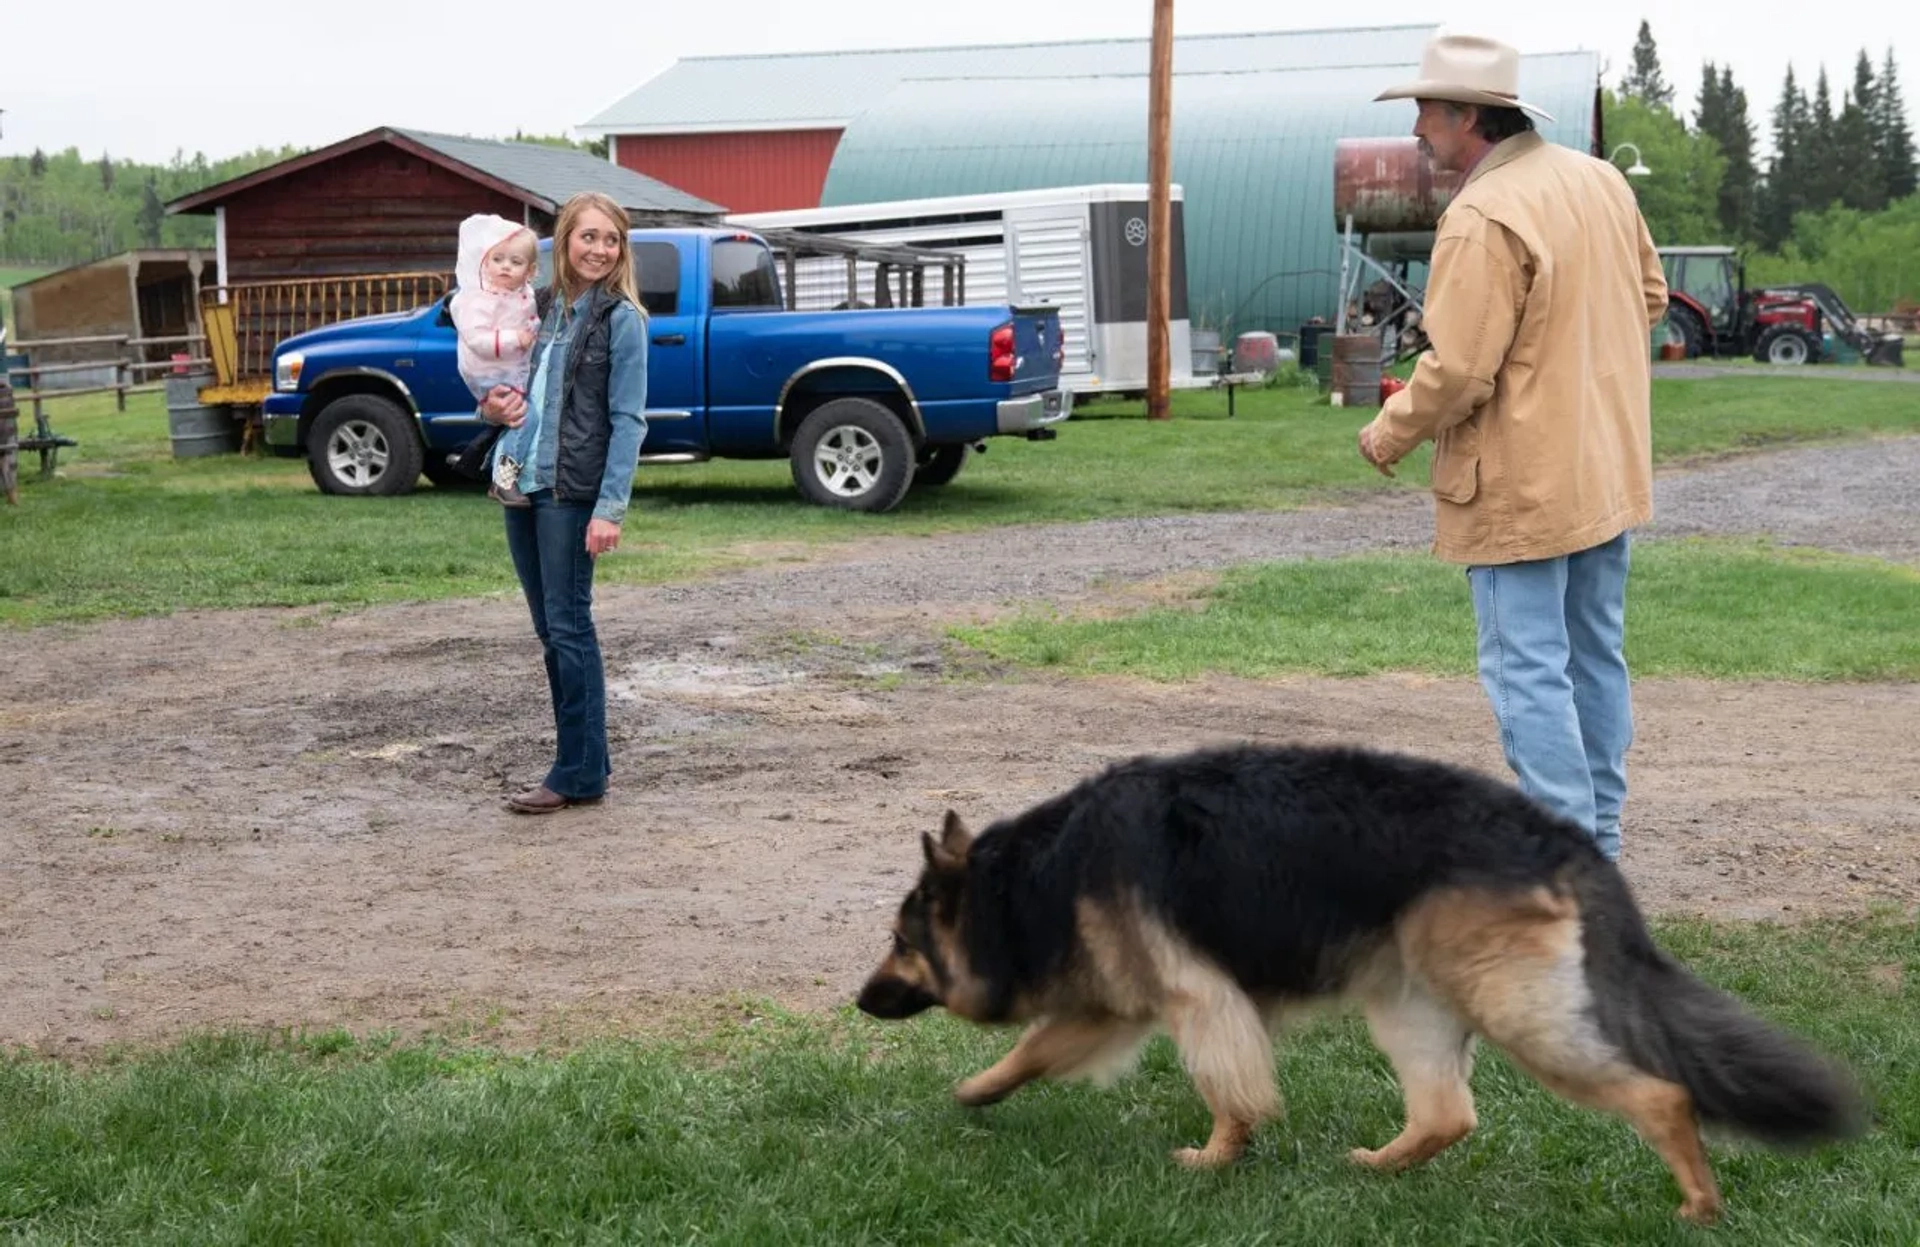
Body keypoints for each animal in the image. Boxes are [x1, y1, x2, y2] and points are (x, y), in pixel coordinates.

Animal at [852, 745, 1858, 1222]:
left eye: (899, 939)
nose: (859, 1001)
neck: (1026, 878)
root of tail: (1561, 835)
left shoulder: (1195, 1000)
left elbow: (1230, 1089)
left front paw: (1219, 1157)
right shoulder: (1110, 1001)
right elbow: (1031, 1053)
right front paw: (975, 1091)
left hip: (1521, 1011)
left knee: (1659, 1093)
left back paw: (1698, 1200)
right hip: (1412, 1005)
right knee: (1449, 1115)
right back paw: (1380, 1165)